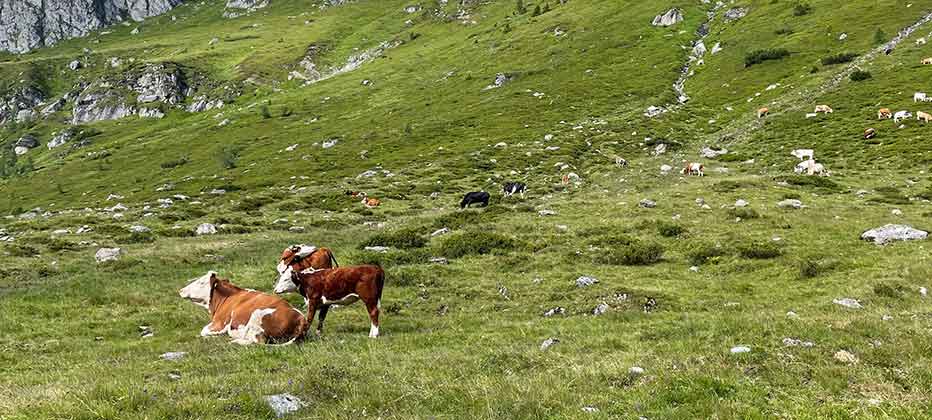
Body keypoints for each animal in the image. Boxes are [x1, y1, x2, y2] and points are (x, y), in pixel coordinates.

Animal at [181, 272, 310, 344]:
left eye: (201, 282)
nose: (181, 290)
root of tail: (300, 318)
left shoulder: (219, 324)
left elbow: (203, 331)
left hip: (257, 317)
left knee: (258, 342)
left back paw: (235, 341)